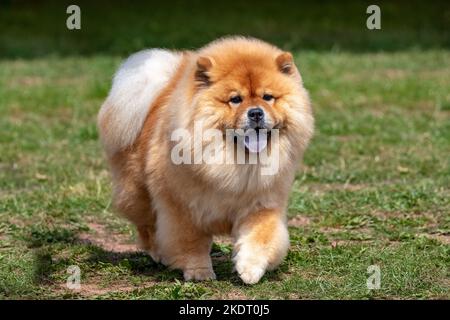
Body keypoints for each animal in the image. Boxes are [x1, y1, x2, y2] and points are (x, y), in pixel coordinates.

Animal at [98, 36, 312, 284]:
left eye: (268, 97)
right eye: (235, 99)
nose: (256, 112)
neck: (236, 163)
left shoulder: (262, 204)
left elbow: (260, 238)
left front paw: (249, 270)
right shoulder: (183, 208)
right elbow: (191, 244)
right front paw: (199, 273)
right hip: (138, 193)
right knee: (147, 227)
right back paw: (158, 254)